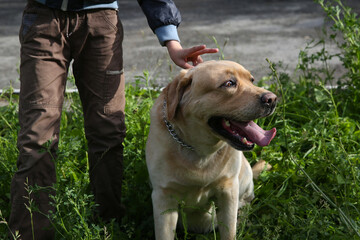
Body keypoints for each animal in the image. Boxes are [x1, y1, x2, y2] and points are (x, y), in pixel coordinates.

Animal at [146, 60, 276, 240]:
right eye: (229, 83)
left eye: (252, 80)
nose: (272, 99)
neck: (200, 151)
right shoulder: (164, 197)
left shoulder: (228, 191)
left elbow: (229, 232)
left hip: (245, 179)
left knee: (247, 201)